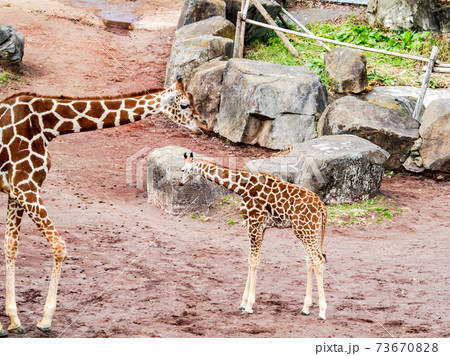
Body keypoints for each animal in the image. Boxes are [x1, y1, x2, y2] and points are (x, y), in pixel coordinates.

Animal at [0, 76, 207, 336]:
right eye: (184, 105)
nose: (204, 126)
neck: (46, 125)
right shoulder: (25, 185)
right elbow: (60, 247)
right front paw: (45, 320)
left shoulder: (17, 190)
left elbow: (10, 247)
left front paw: (13, 320)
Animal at [178, 153, 328, 320]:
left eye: (182, 169)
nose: (179, 183)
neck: (243, 188)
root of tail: (322, 206)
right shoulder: (260, 227)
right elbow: (250, 259)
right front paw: (243, 303)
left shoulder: (254, 223)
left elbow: (254, 261)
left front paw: (249, 305)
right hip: (309, 231)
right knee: (311, 261)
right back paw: (305, 308)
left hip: (305, 230)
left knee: (318, 260)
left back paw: (322, 312)